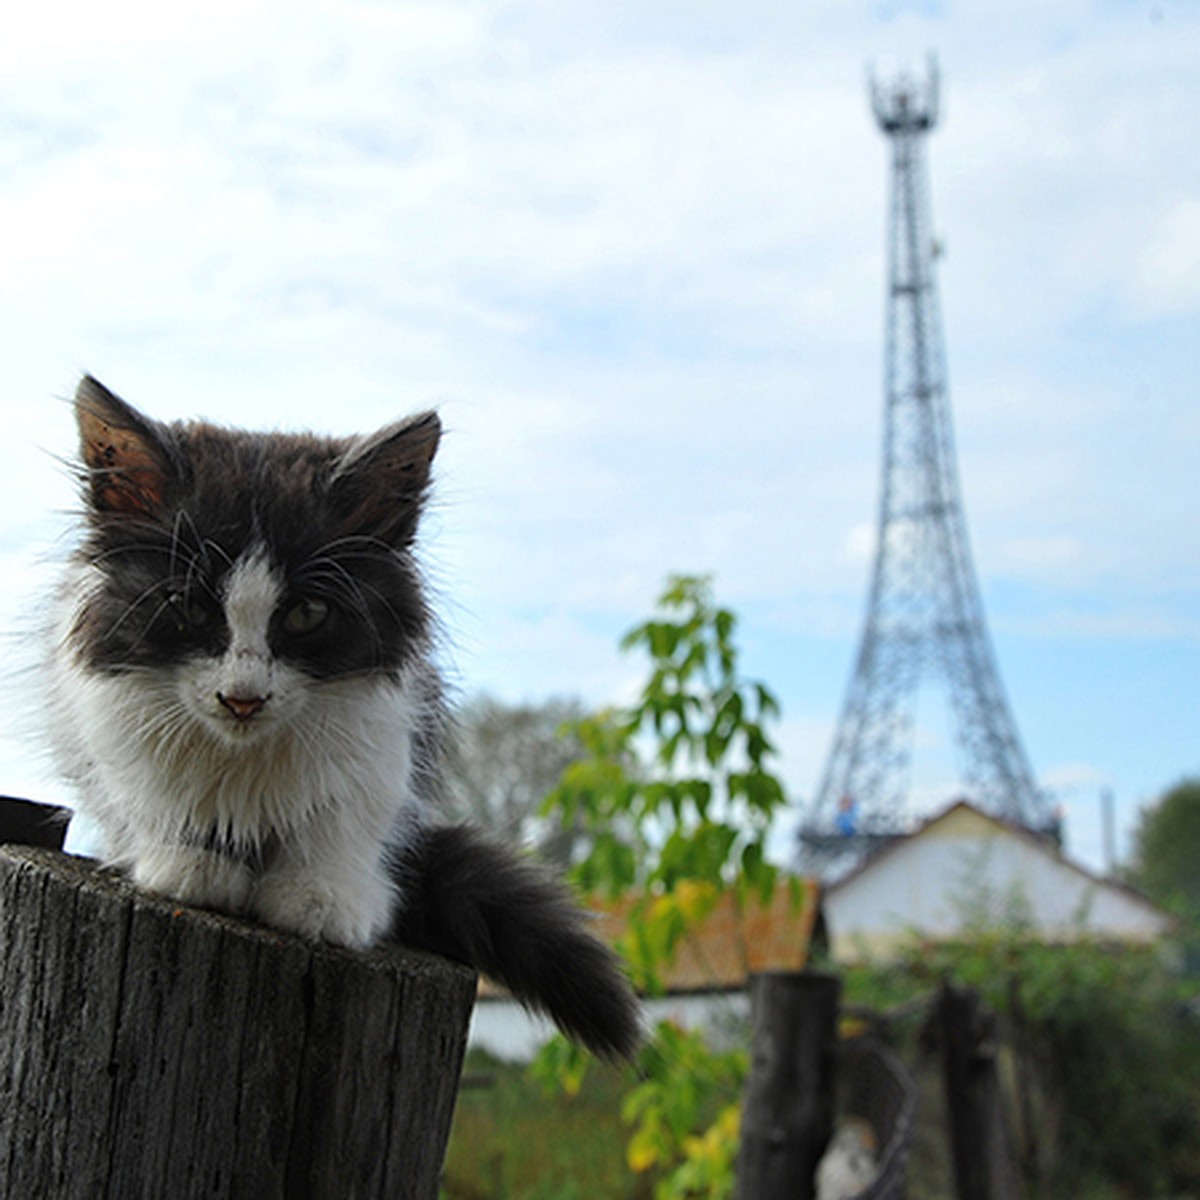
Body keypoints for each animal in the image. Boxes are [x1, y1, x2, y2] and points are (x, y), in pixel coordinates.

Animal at [43, 374, 643, 1060]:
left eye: (307, 613)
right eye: (188, 606)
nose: (242, 697)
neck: (247, 754)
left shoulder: (387, 735)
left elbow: (342, 818)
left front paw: (321, 894)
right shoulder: (116, 723)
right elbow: (160, 797)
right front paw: (191, 861)